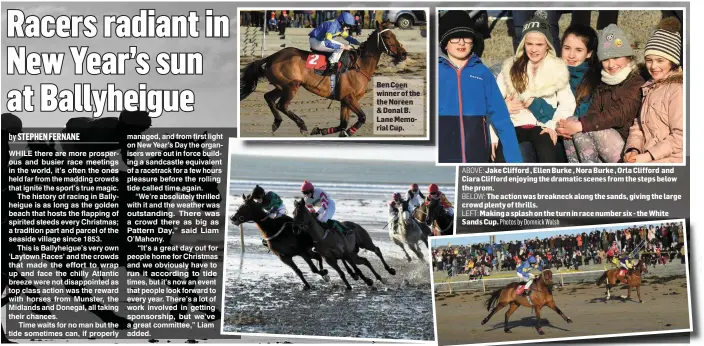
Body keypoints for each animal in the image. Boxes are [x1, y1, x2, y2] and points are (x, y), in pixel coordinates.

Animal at [241, 20, 408, 138]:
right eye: (387, 36)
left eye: (394, 35)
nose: (404, 53)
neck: (358, 65)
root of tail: (271, 57)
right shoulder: (349, 98)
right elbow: (362, 117)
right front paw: (349, 132)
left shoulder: (345, 100)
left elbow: (343, 124)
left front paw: (320, 130)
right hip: (292, 85)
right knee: (282, 105)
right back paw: (302, 125)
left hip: (281, 86)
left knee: (268, 97)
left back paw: (277, 122)